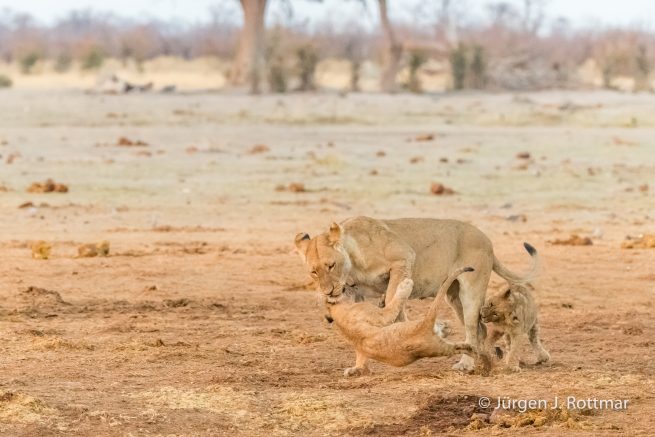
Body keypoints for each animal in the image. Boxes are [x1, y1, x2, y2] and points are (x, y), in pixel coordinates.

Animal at [325, 267, 490, 376]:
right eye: (345, 287)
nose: (350, 284)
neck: (338, 312)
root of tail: (422, 327)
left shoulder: (361, 344)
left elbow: (361, 358)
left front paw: (355, 370)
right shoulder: (379, 315)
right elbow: (393, 304)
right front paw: (406, 285)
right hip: (439, 344)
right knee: (461, 346)